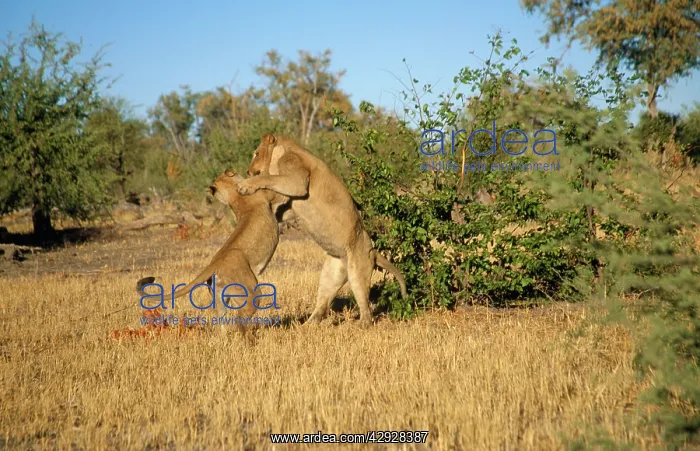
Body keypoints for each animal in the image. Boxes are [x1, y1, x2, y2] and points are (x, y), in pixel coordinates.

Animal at [136, 169, 288, 340]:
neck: (233, 194)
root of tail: (215, 263)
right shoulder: (273, 196)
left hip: (221, 298)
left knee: (221, 323)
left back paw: (225, 340)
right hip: (251, 292)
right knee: (240, 320)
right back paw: (251, 341)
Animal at [236, 134, 407, 327]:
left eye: (256, 154)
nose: (248, 171)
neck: (283, 151)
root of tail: (373, 250)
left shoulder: (296, 179)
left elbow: (268, 179)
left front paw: (245, 186)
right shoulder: (290, 202)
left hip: (357, 271)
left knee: (365, 305)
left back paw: (361, 324)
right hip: (331, 275)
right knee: (323, 304)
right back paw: (306, 326)